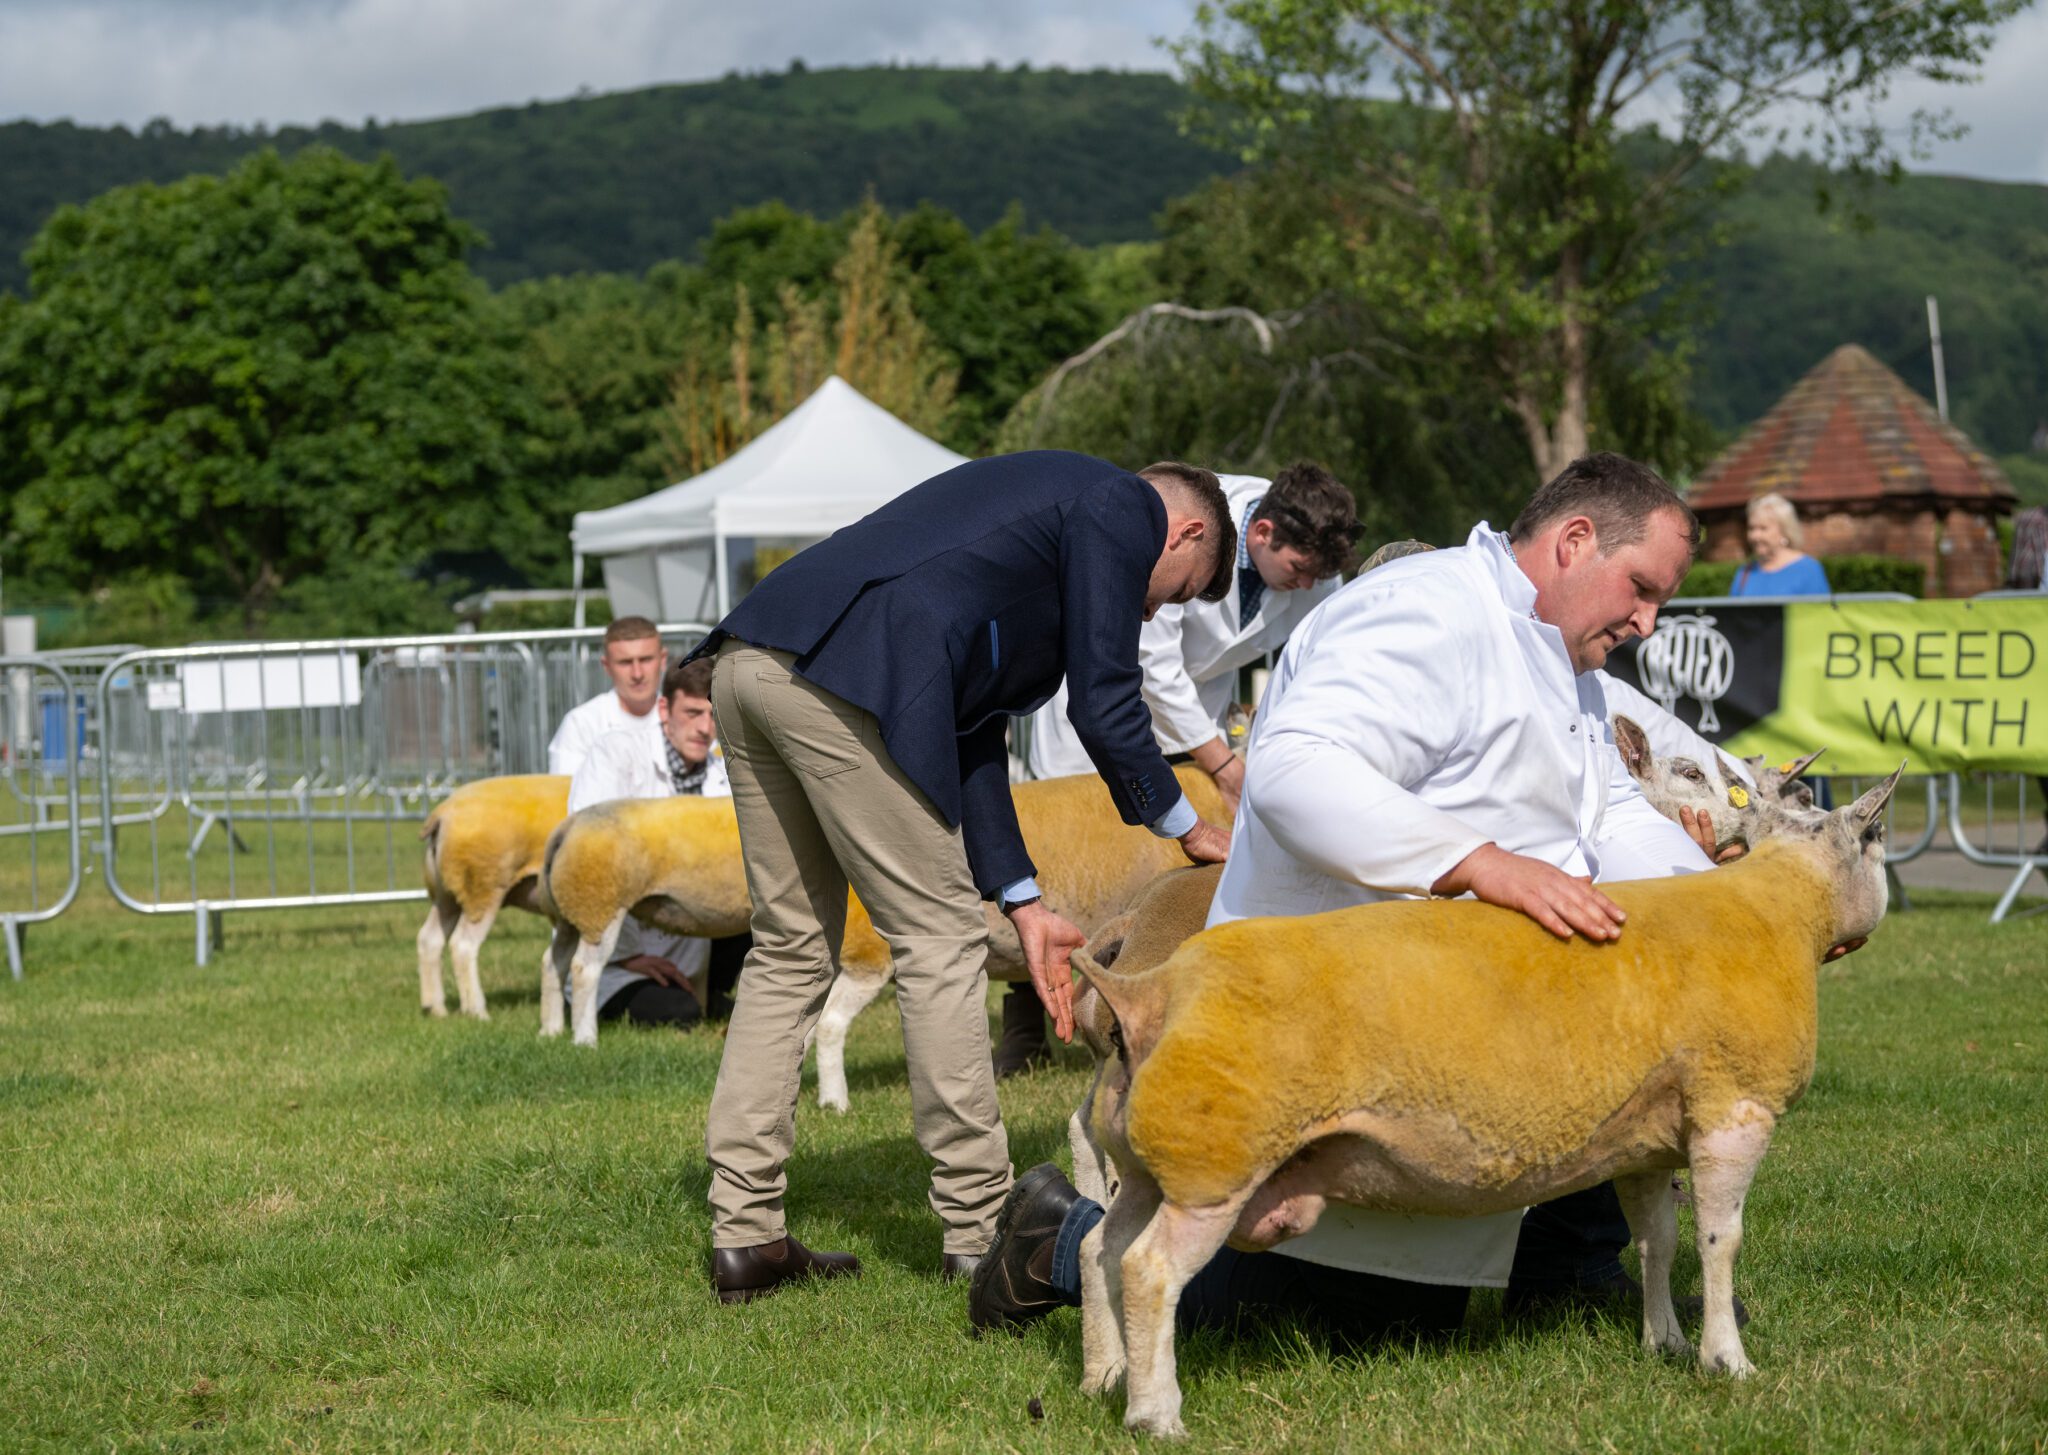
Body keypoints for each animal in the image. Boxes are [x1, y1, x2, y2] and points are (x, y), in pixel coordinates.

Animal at [417, 775, 570, 1019]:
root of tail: (442, 813)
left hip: (447, 895)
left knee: (429, 939)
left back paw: (436, 1009)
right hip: (482, 889)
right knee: (463, 945)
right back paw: (477, 1011)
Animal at [537, 766, 1229, 1111]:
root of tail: (565, 828)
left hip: (573, 914)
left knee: (553, 963)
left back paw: (550, 1029)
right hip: (600, 910)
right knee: (585, 972)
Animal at [1071, 769, 1902, 1438]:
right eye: (1877, 842)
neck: (1782, 908)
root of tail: (1147, 992)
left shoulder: (1647, 1139)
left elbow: (1658, 1241)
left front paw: (1661, 1340)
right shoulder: (1735, 1108)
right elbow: (1719, 1241)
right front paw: (1725, 1359)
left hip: (1147, 1162)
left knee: (1100, 1247)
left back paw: (1104, 1375)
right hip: (1215, 1165)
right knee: (1149, 1269)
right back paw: (1156, 1413)